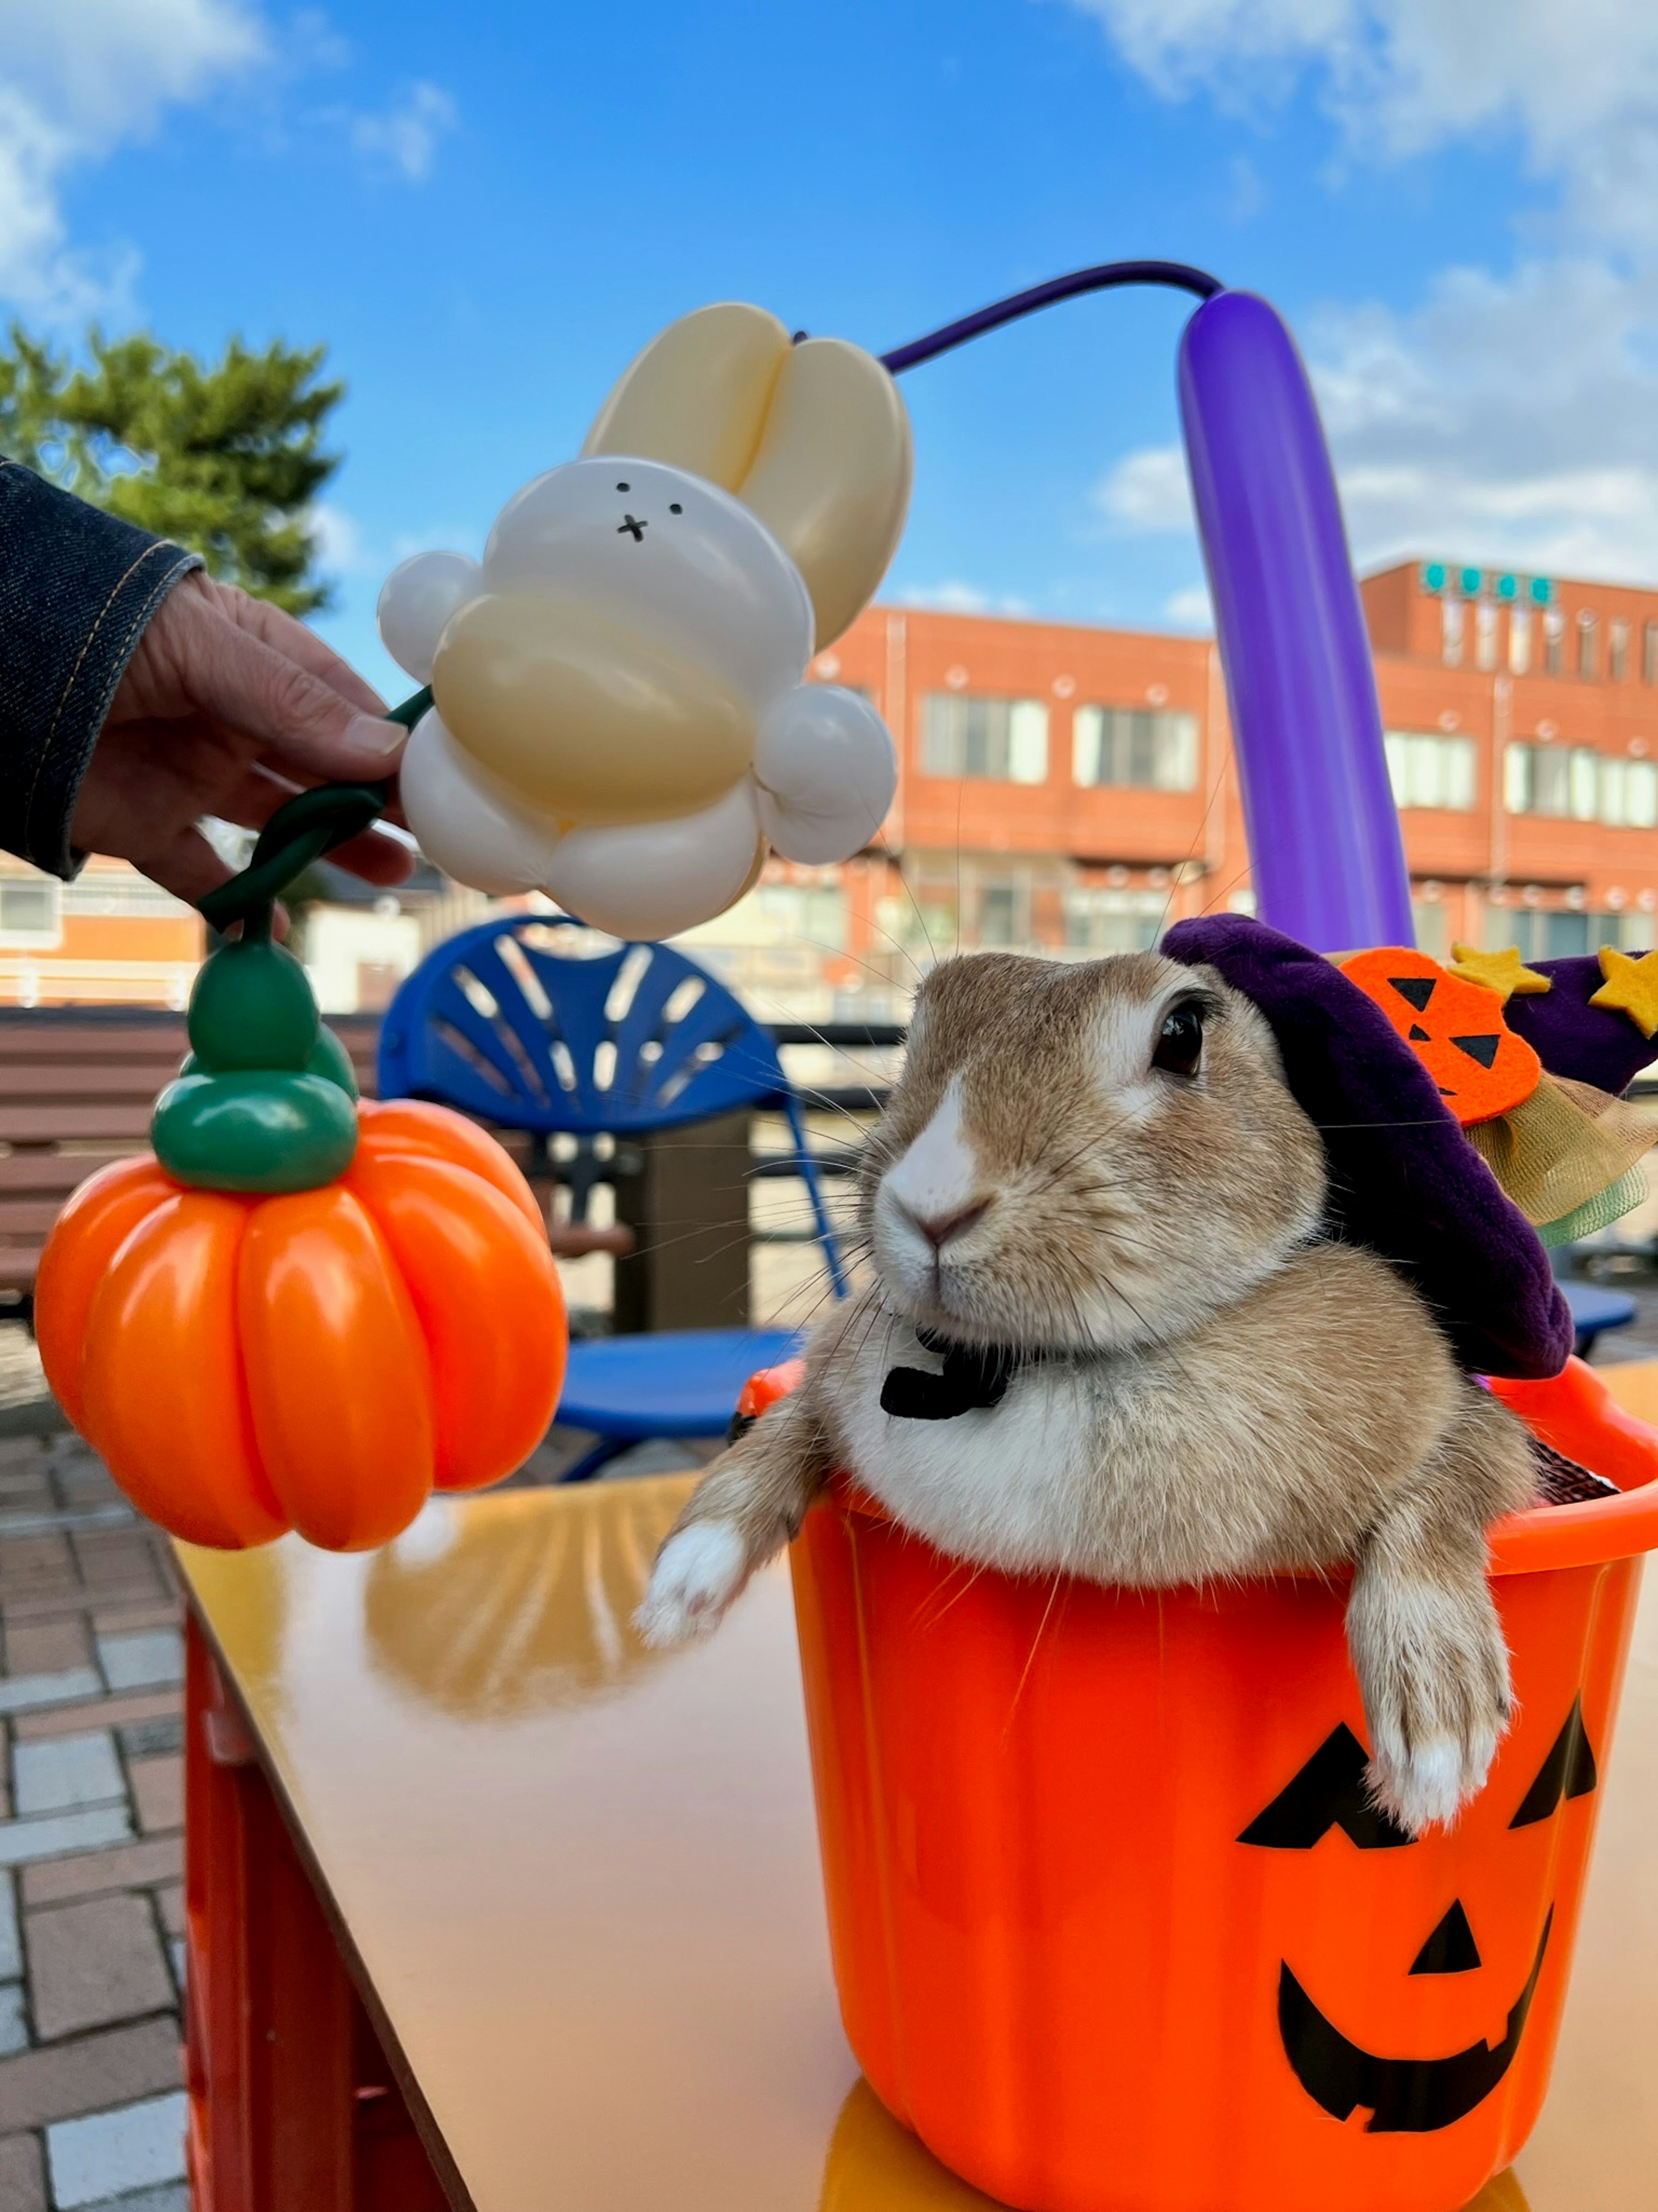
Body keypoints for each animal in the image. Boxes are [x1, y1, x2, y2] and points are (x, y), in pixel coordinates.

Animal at [641, 946, 1547, 1831]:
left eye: (1183, 1033)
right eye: (923, 1021)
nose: (931, 1204)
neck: (1015, 1367)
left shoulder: (1468, 1419)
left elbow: (1442, 1497)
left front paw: (1438, 1745)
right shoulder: (838, 1368)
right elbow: (788, 1424)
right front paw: (681, 1588)